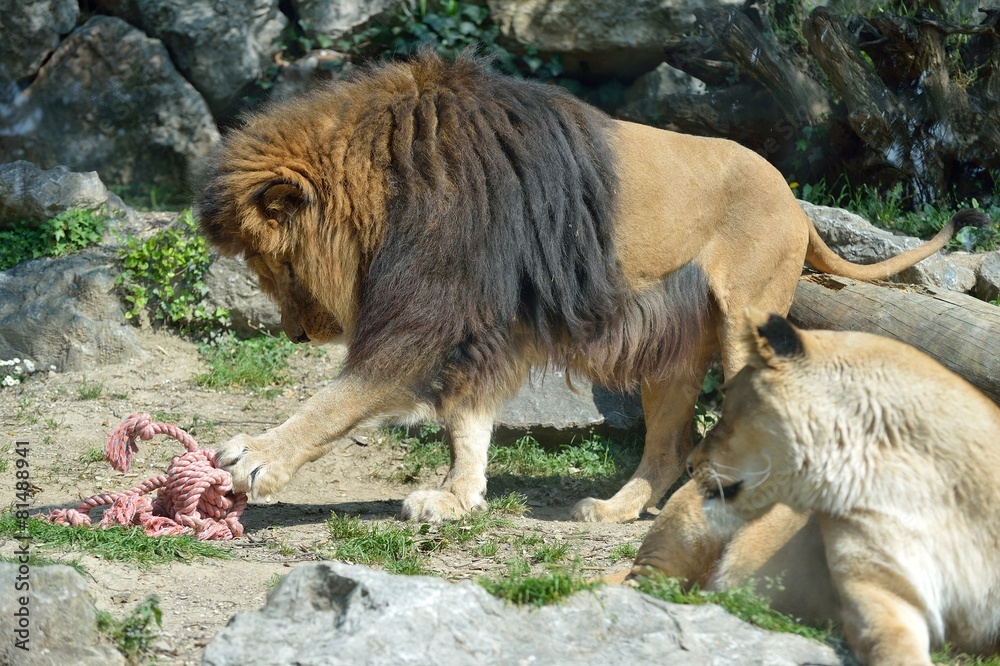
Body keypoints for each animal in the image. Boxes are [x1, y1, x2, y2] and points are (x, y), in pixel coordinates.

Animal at [193, 51, 986, 523]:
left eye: (264, 264)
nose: (297, 332)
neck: (386, 188)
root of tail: (794, 198)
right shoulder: (492, 325)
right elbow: (467, 420)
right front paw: (457, 497)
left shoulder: (429, 314)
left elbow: (342, 397)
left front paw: (256, 458)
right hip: (677, 346)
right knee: (671, 443)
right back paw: (617, 509)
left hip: (745, 320)